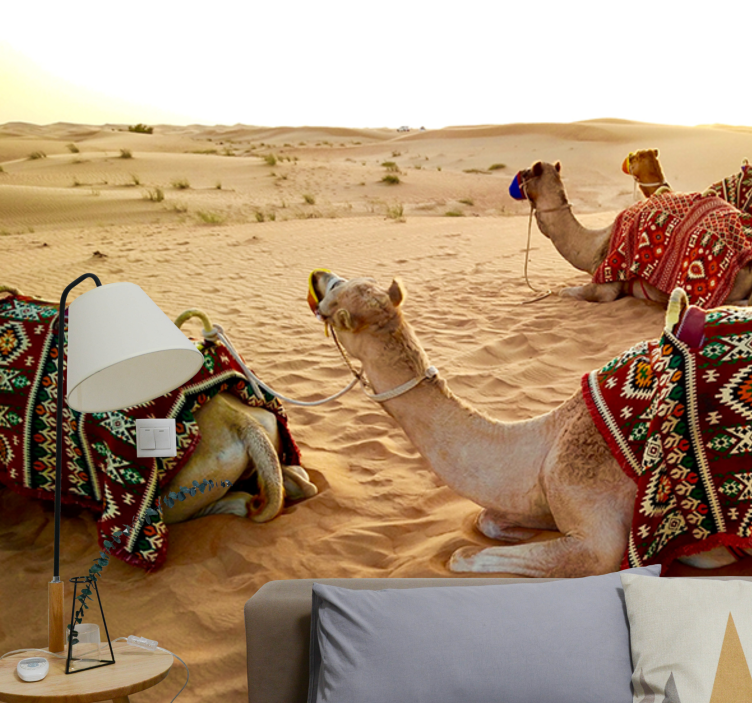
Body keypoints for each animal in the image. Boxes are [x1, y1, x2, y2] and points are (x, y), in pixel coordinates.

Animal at [308, 270, 749, 576]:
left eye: (333, 293)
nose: (318, 275)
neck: (547, 437)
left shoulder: (587, 511)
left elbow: (463, 553)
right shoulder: (542, 489)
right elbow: (487, 518)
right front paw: (529, 531)